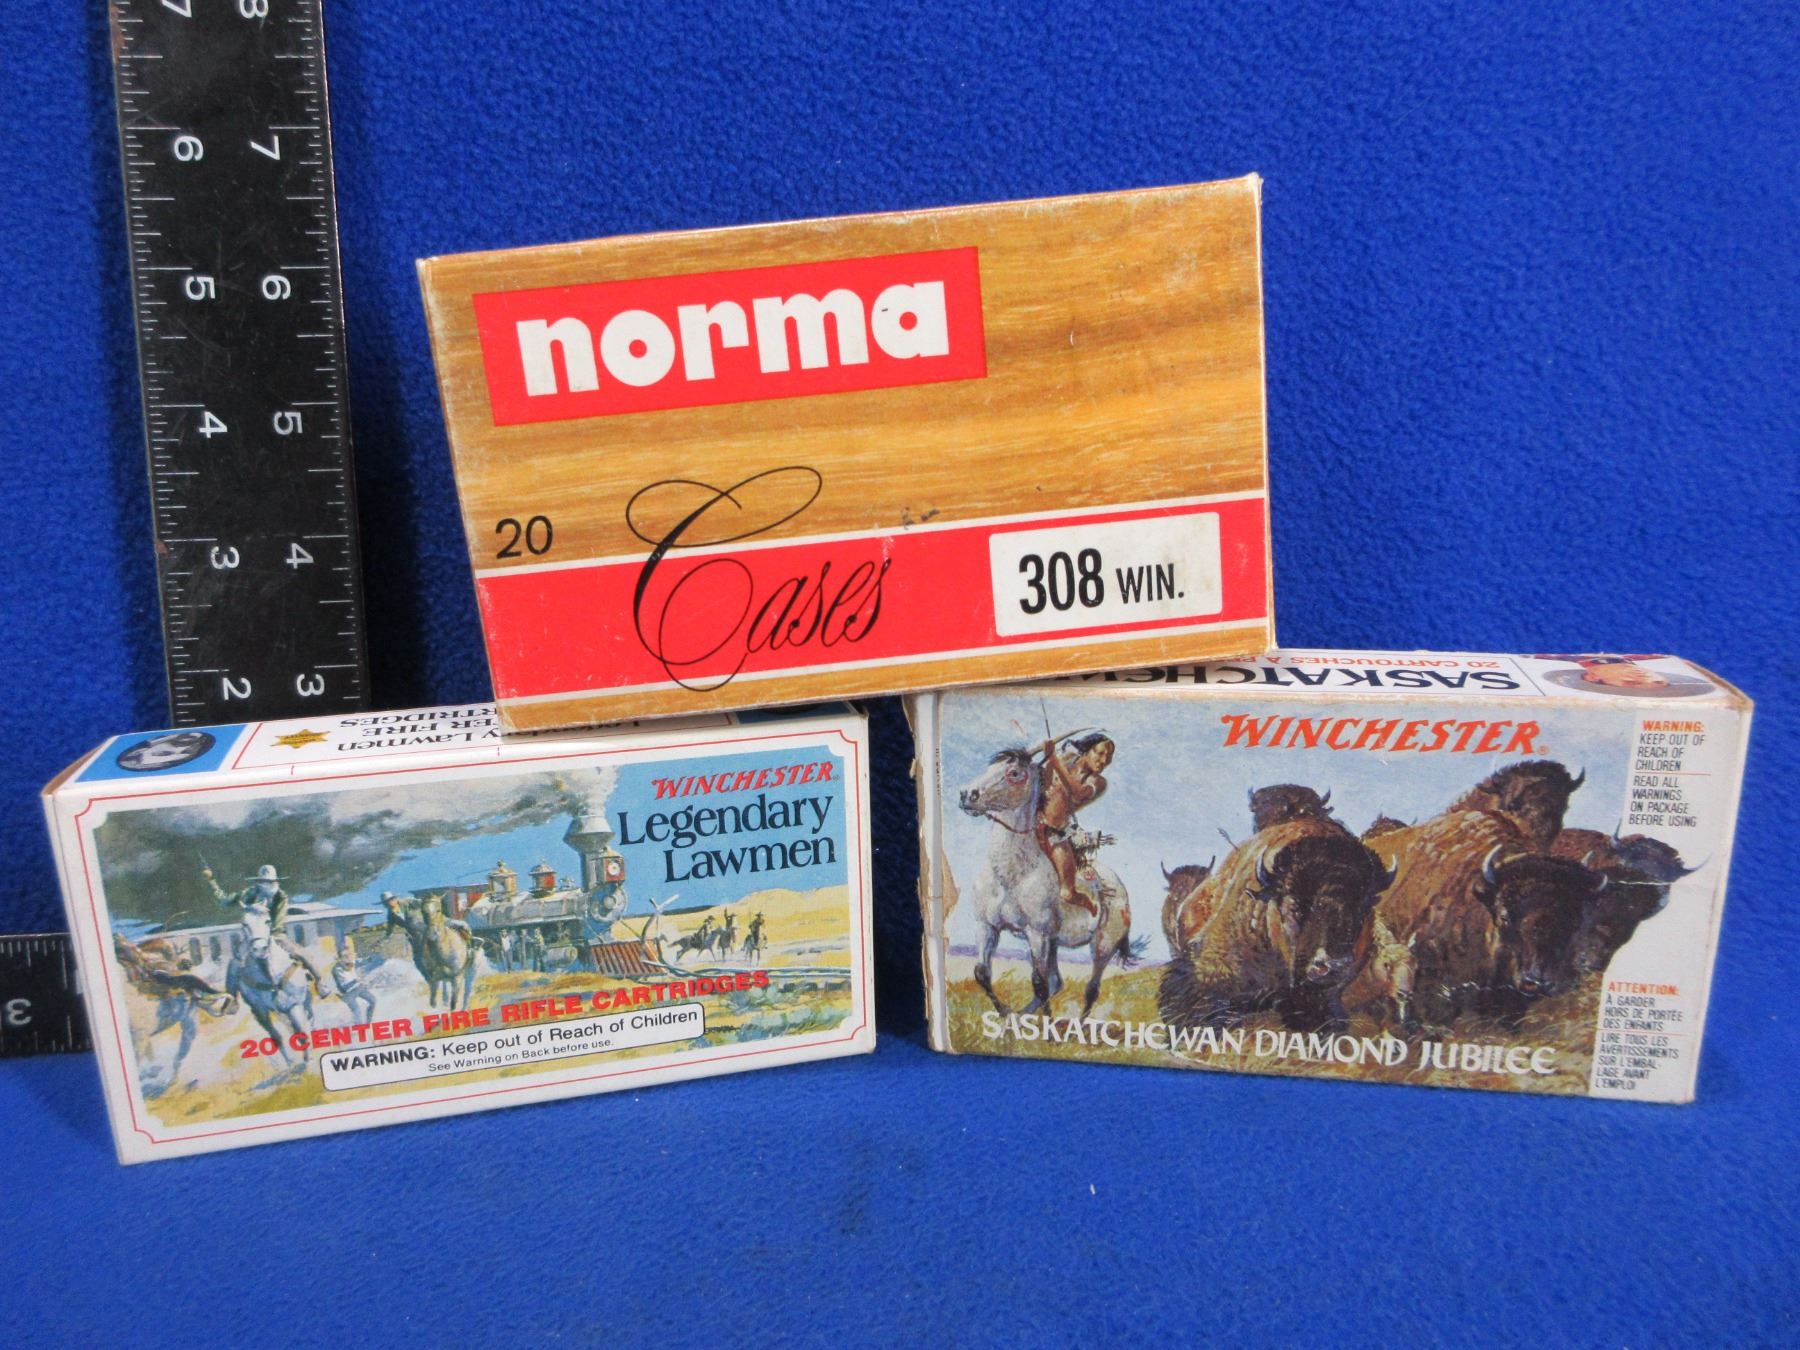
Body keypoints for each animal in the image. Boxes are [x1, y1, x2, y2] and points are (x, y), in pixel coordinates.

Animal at [226, 910, 319, 1083]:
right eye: (244, 923)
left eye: (267, 921)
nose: (260, 949)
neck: (270, 976)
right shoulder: (260, 1012)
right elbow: (277, 1037)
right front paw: (291, 1065)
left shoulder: (293, 1005)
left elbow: (302, 1032)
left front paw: (308, 1062)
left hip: (304, 1001)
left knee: (309, 1020)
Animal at [958, 747, 1136, 1017]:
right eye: (990, 768)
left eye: (1014, 773)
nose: (967, 794)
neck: (1010, 875)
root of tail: (1119, 886)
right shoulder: (986, 926)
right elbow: (982, 974)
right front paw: (1006, 1014)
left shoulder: (1037, 933)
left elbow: (1038, 984)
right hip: (1054, 944)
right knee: (1056, 982)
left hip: (1103, 945)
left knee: (1091, 989)